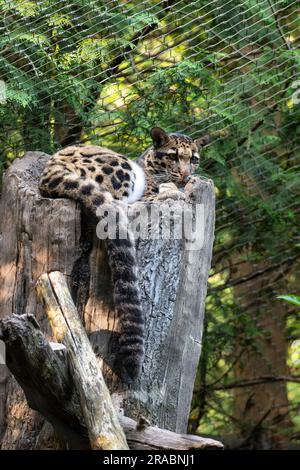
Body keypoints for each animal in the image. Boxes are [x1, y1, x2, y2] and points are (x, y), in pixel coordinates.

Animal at [39, 127, 211, 382]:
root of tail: (49, 169)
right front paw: (173, 191)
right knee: (121, 202)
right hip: (119, 167)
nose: (185, 175)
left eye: (194, 159)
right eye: (173, 156)